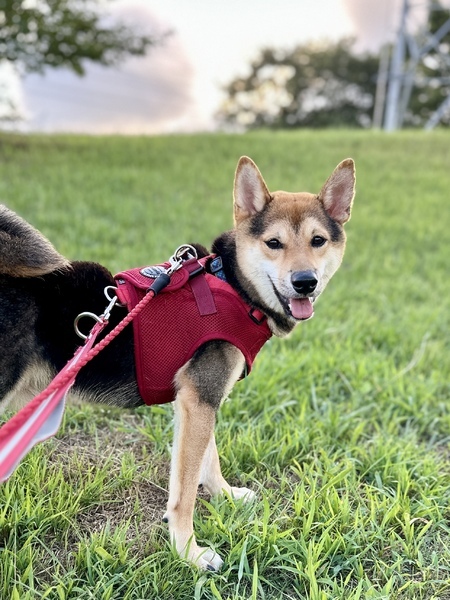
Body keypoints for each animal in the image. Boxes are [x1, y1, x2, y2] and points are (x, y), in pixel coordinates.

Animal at [0, 156, 355, 570]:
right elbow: (184, 492)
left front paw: (224, 495)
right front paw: (188, 551)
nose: (305, 282)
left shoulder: (200, 400)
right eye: (274, 243)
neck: (233, 286)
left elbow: (209, 460)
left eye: (318, 241)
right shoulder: (198, 399)